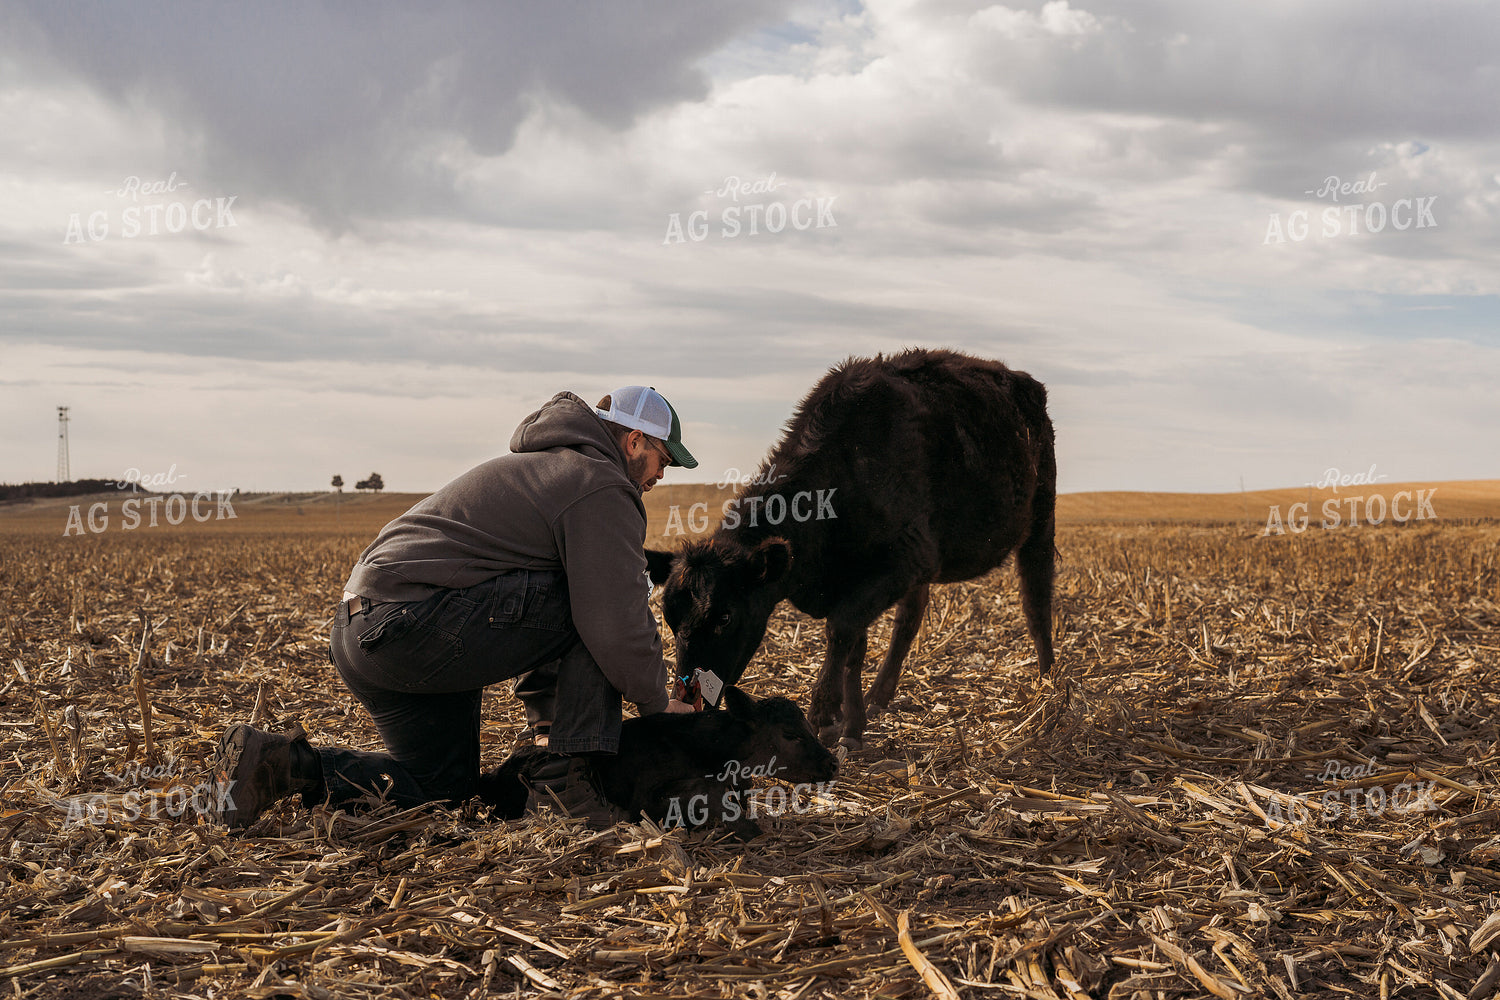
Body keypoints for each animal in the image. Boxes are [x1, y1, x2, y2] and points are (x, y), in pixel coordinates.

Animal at [647, 348, 1056, 749]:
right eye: (669, 618)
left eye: (725, 617)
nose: (687, 699)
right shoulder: (872, 577)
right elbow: (855, 648)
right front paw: (853, 721)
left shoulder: (902, 562)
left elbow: (840, 630)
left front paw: (826, 714)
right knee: (909, 620)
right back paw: (879, 696)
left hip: (1039, 518)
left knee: (1036, 602)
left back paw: (1048, 687)